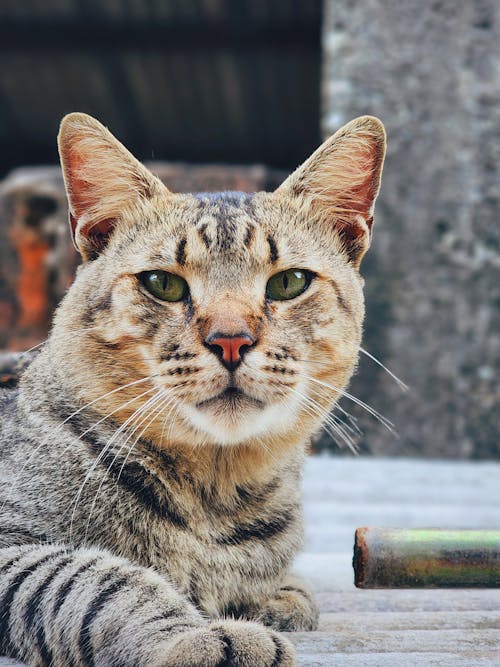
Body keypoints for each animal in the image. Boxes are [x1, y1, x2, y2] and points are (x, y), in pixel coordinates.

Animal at [0, 112, 386, 664]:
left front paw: (275, 597)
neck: (216, 496)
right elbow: (102, 580)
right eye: (162, 283)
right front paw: (196, 636)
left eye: (289, 282)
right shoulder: (14, 548)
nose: (230, 340)